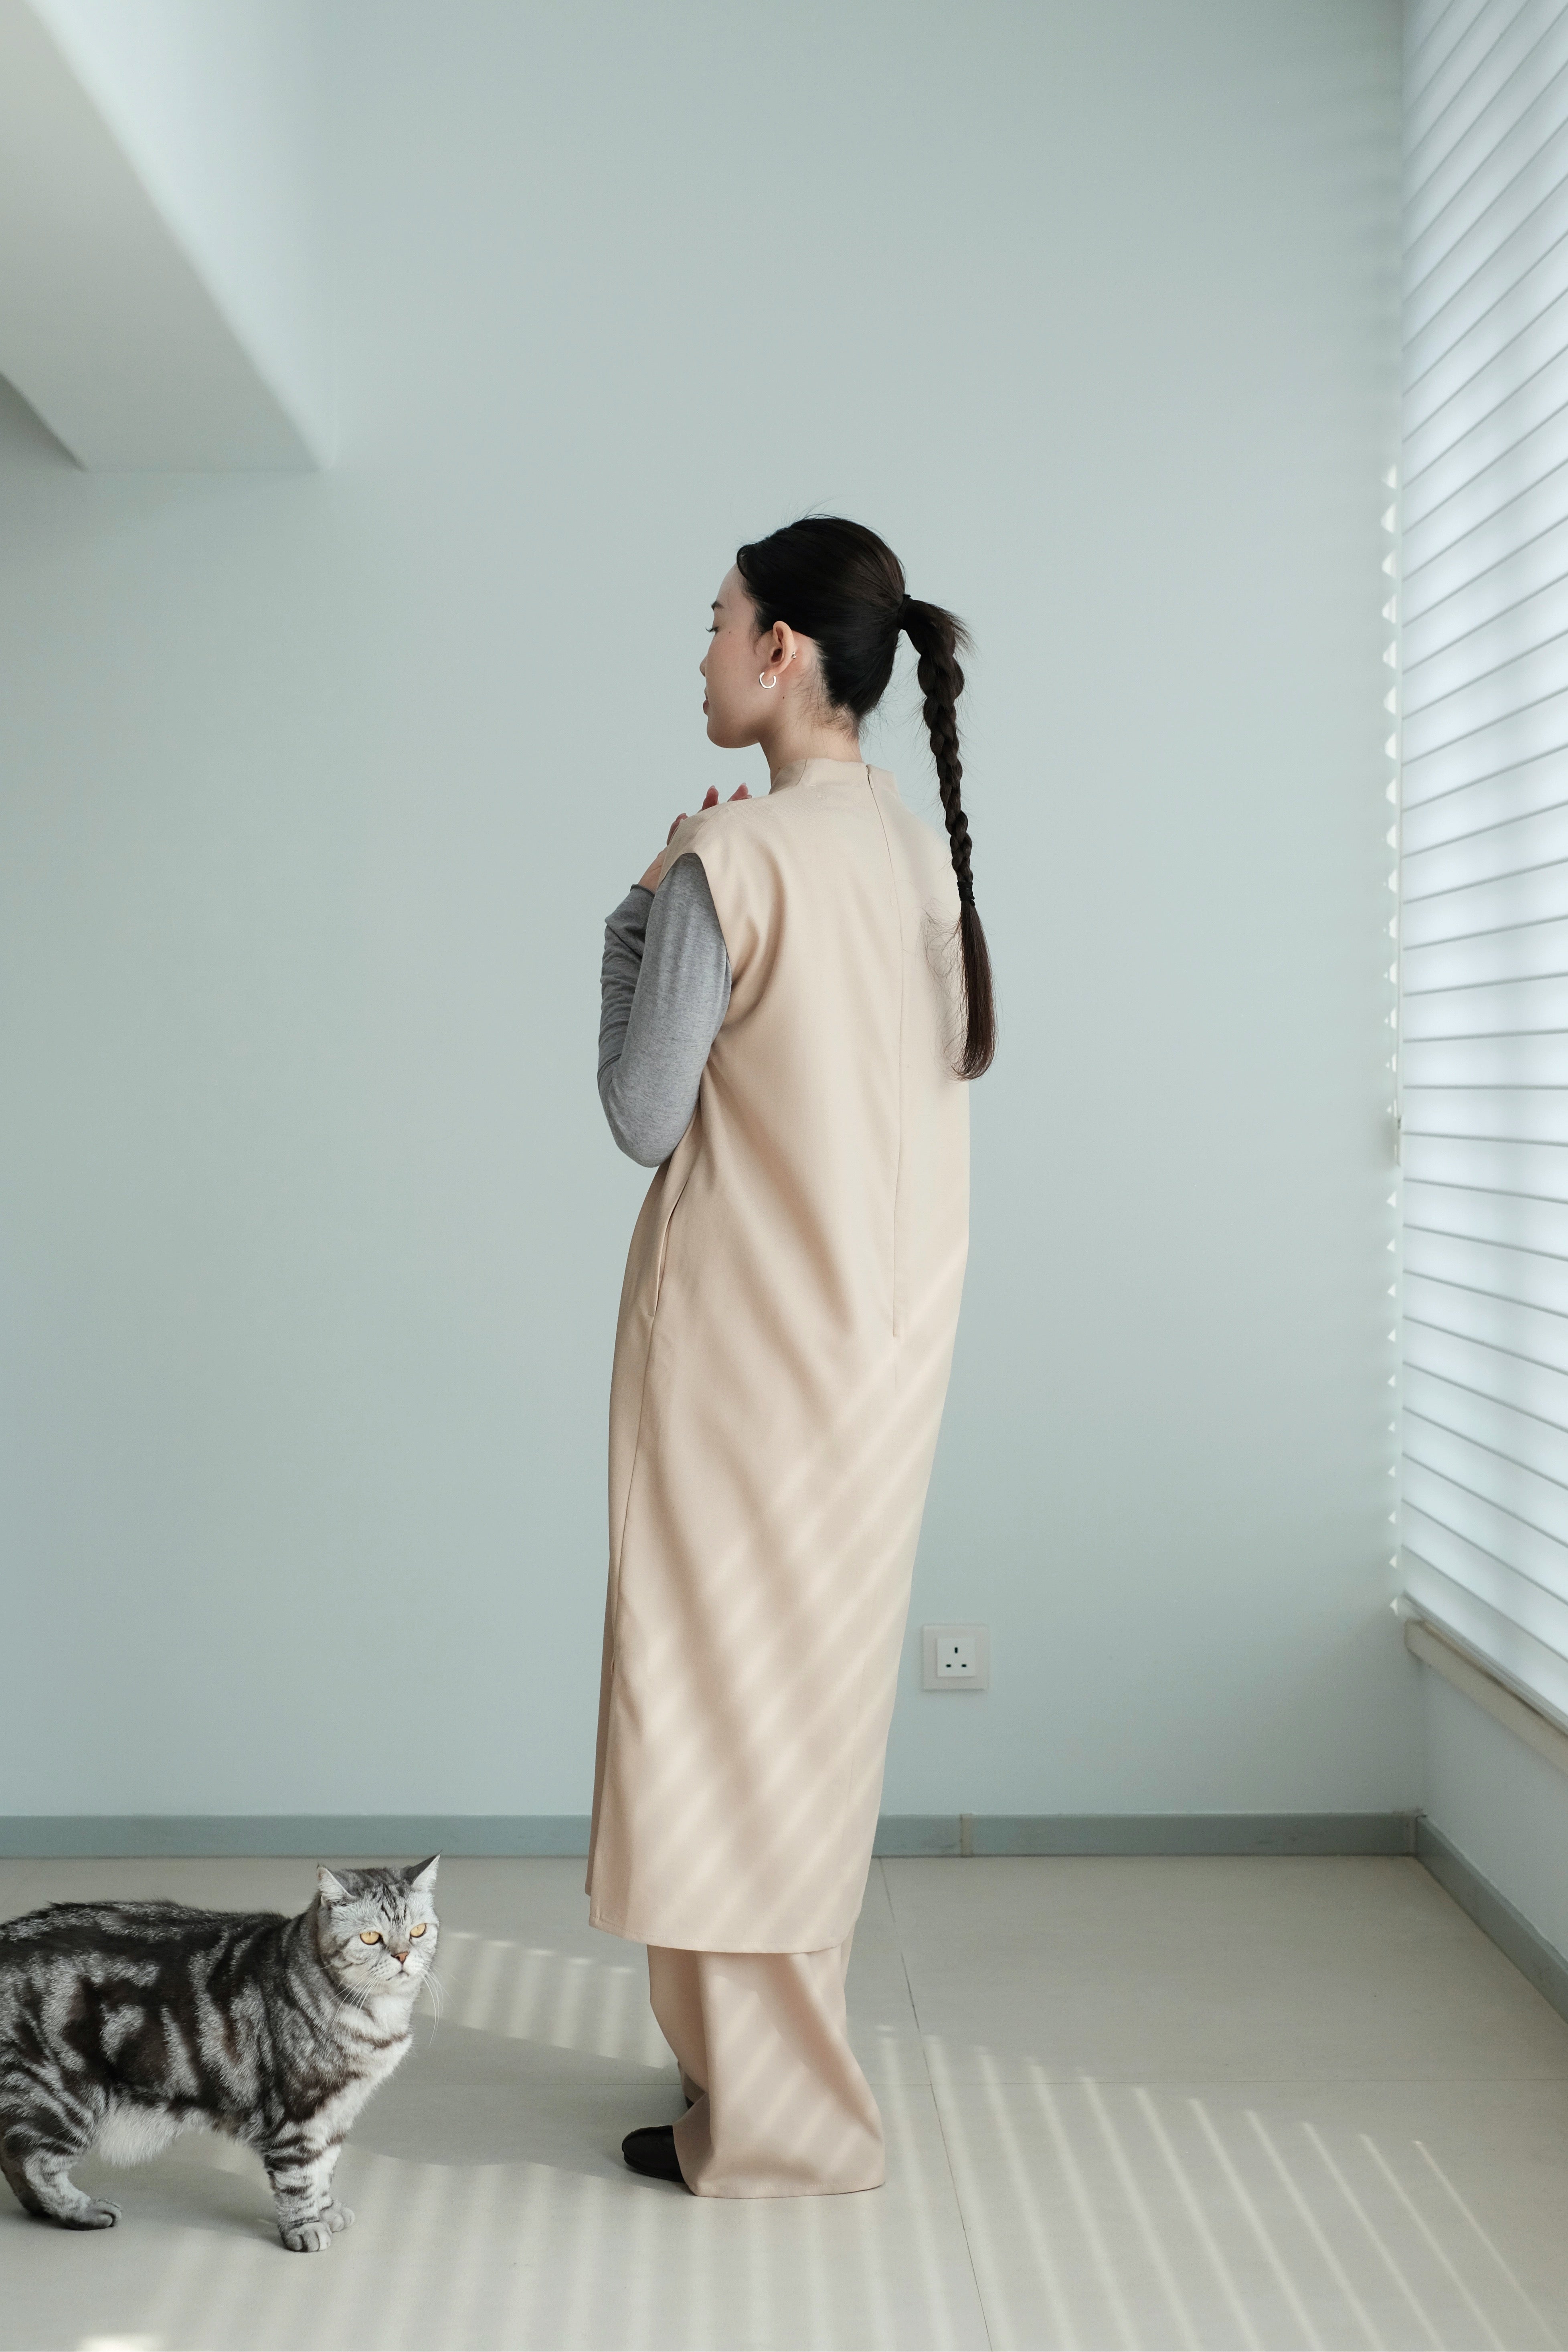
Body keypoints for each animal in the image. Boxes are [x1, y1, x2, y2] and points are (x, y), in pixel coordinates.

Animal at [0, 1855, 438, 2252]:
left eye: (417, 1931)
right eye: (371, 1938)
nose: (402, 1956)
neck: (378, 2017)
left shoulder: (337, 2110)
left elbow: (324, 2168)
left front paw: (326, 2209)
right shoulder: (298, 2113)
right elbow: (299, 2177)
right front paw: (305, 2226)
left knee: (13, 2152)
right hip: (63, 2095)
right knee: (35, 2161)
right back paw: (81, 2211)